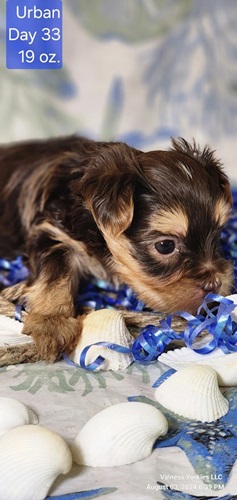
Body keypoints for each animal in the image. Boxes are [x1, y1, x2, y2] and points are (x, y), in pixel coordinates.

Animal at [0, 135, 233, 362]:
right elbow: (55, 272)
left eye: (218, 234)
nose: (215, 283)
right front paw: (52, 322)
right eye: (165, 246)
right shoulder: (51, 232)